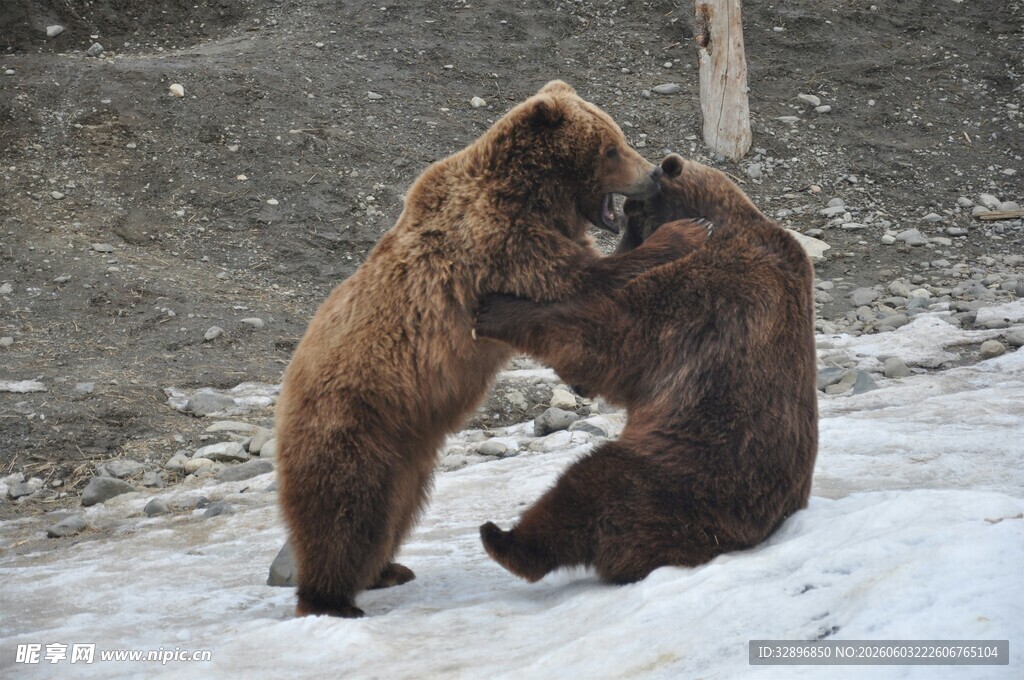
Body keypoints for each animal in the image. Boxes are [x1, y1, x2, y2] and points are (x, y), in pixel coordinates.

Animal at [275, 80, 672, 618]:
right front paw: (679, 236)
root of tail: (285, 394)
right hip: (352, 420)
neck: (537, 196)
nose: (652, 174)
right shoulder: (499, 240)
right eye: (612, 148)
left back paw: (386, 570)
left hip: (407, 455)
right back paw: (332, 600)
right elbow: (575, 277)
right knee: (344, 511)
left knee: (392, 512)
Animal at [474, 152, 819, 585]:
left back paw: (502, 539)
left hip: (683, 478)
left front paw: (497, 308)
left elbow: (614, 334)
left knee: (590, 485)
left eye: (631, 217)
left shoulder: (707, 291)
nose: (617, 249)